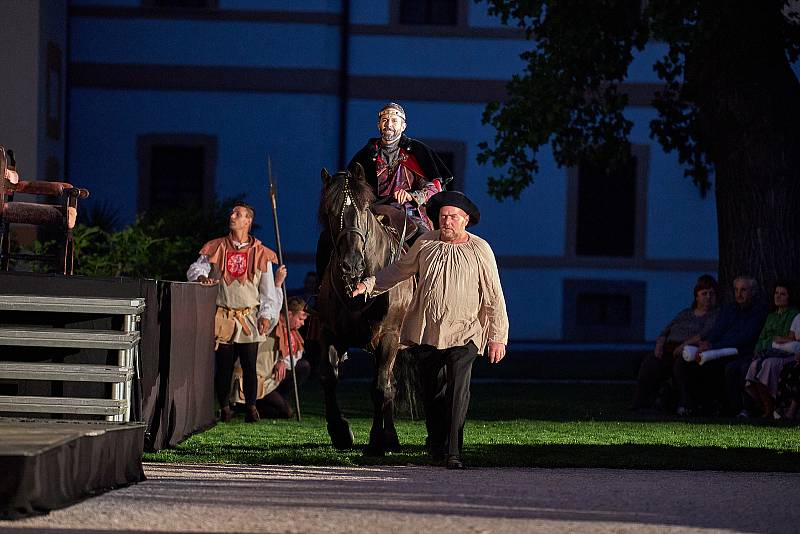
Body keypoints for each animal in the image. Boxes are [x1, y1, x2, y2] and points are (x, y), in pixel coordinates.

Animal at [314, 164, 412, 456]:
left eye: (364, 209)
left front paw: (377, 439)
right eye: (329, 211)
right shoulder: (329, 333)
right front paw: (340, 432)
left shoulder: (389, 338)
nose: (351, 264)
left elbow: (380, 388)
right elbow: (329, 377)